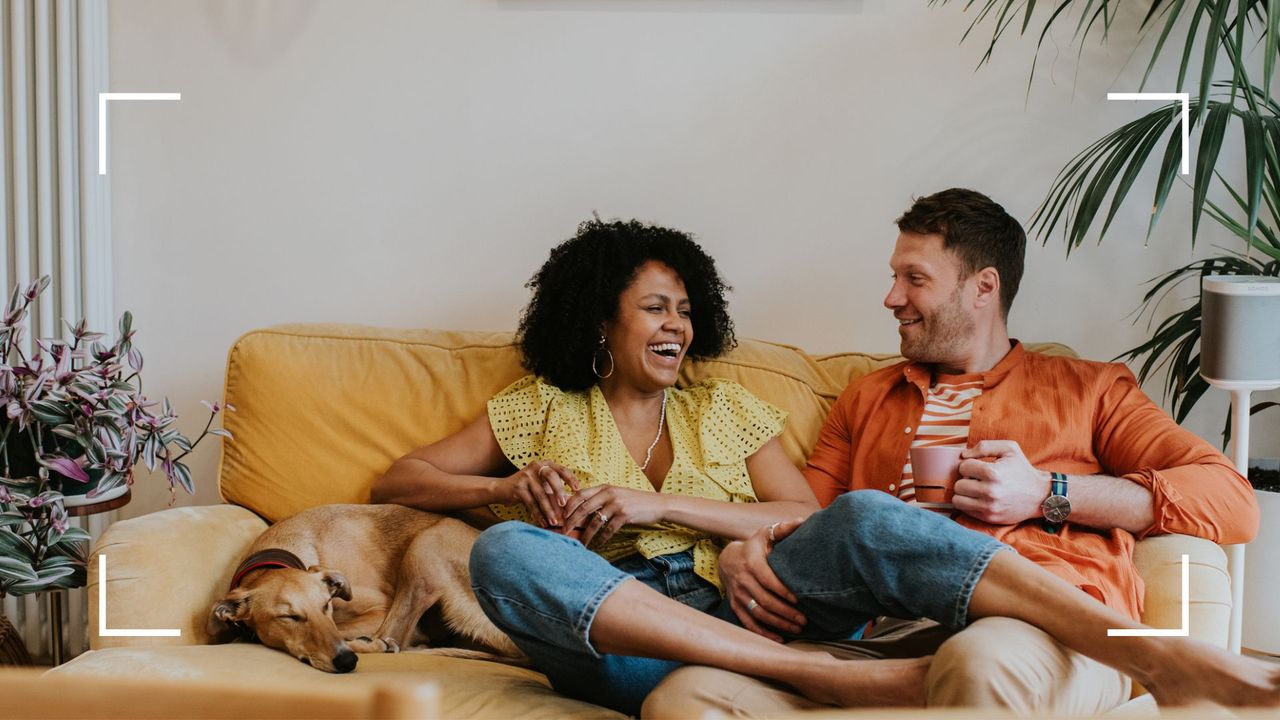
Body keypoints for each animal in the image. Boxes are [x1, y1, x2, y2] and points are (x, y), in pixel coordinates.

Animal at [207, 502, 517, 671]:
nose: (346, 662)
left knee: (395, 638)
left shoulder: (378, 611)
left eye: (326, 605)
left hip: (428, 541)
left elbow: (345, 629)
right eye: (288, 617)